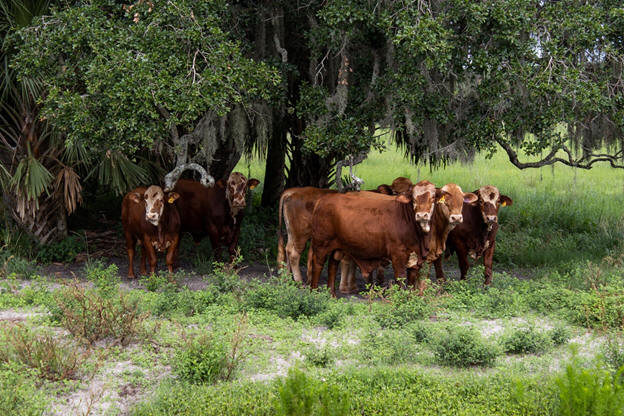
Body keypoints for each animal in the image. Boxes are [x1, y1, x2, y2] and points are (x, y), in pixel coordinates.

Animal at [308, 181, 438, 296]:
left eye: (433, 198)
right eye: (413, 198)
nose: (422, 215)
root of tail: (322, 200)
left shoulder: (415, 258)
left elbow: (411, 281)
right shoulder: (398, 256)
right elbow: (400, 278)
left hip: (338, 245)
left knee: (333, 264)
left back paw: (332, 294)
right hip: (321, 244)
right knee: (318, 264)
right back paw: (313, 292)